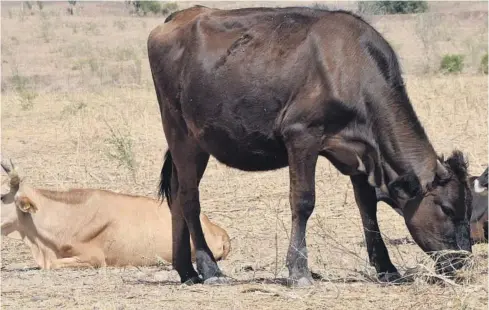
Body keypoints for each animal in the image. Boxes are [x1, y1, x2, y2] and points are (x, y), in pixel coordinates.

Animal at [146, 5, 472, 286]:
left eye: (469, 210)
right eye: (446, 208)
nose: (463, 261)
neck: (349, 68)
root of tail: (180, 16)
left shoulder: (359, 153)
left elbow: (368, 209)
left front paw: (387, 268)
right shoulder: (301, 135)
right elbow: (303, 201)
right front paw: (299, 271)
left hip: (193, 143)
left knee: (176, 192)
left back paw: (186, 271)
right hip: (181, 134)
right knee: (189, 198)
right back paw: (209, 269)